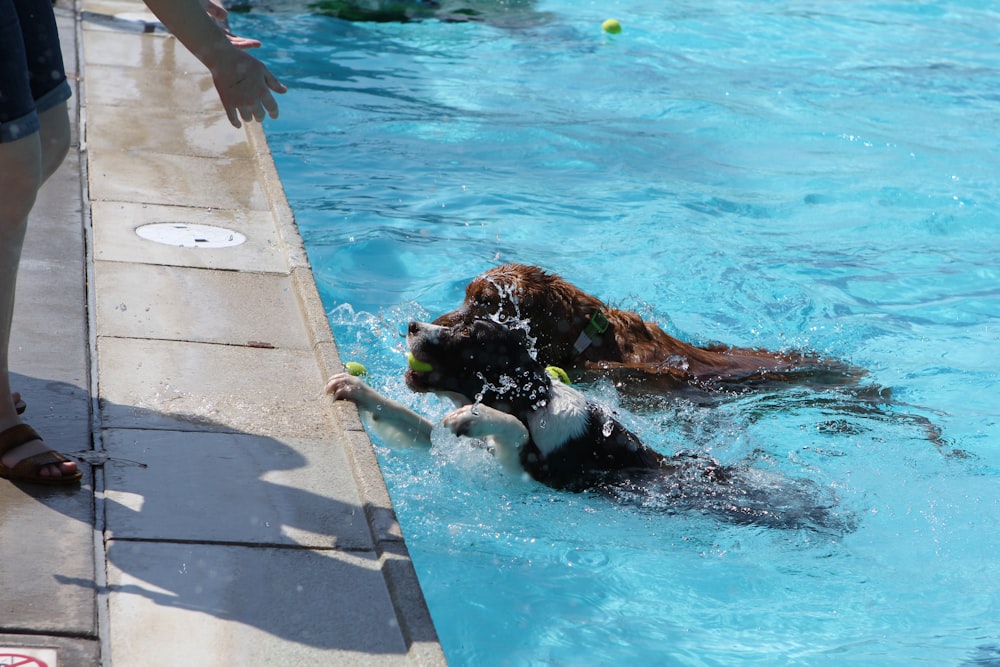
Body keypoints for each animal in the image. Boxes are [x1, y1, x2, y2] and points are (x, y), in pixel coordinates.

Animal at [330, 318, 852, 532]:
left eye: (467, 334)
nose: (413, 326)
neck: (533, 402)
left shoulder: (532, 473)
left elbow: (511, 430)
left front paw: (475, 415)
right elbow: (408, 418)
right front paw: (357, 389)